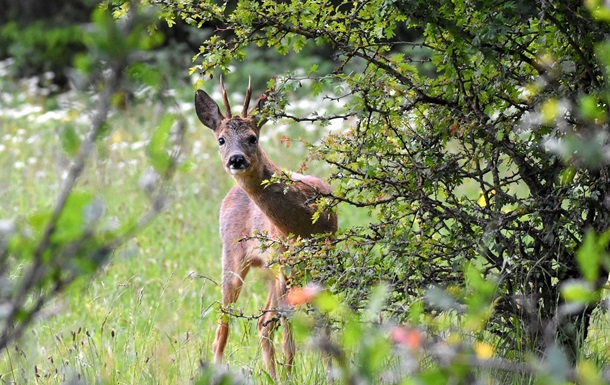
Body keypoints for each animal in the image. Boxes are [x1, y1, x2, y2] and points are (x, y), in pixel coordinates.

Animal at [195, 76, 338, 376]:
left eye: (253, 137)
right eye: (221, 139)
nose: (236, 159)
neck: (304, 223)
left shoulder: (323, 258)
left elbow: (323, 323)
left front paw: (331, 372)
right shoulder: (285, 264)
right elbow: (287, 330)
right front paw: (292, 375)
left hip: (273, 269)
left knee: (264, 324)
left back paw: (275, 375)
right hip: (234, 257)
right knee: (225, 326)